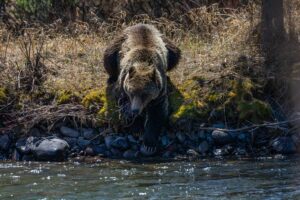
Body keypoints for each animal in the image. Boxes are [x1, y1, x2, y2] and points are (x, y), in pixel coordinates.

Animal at [103, 23, 180, 156]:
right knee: (108, 58)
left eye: (145, 94)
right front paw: (137, 128)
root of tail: (141, 24)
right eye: (131, 92)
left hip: (166, 44)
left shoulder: (159, 92)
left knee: (175, 54)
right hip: (117, 44)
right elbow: (123, 104)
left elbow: (157, 113)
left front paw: (149, 144)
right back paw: (111, 77)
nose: (135, 110)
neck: (143, 64)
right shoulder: (123, 85)